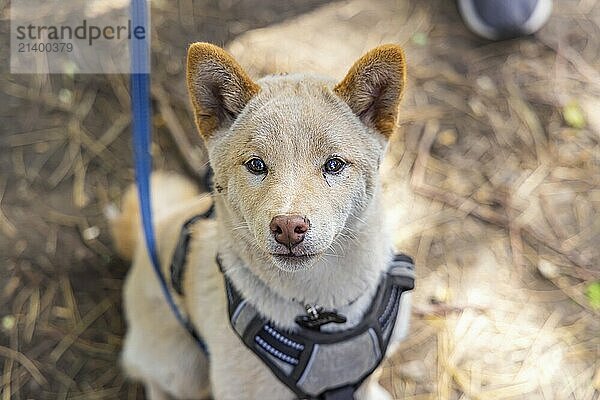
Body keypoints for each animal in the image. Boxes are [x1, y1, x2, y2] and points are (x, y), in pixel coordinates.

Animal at [112, 43, 408, 400]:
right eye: (256, 165)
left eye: (334, 164)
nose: (288, 228)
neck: (320, 308)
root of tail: (149, 235)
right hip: (182, 369)